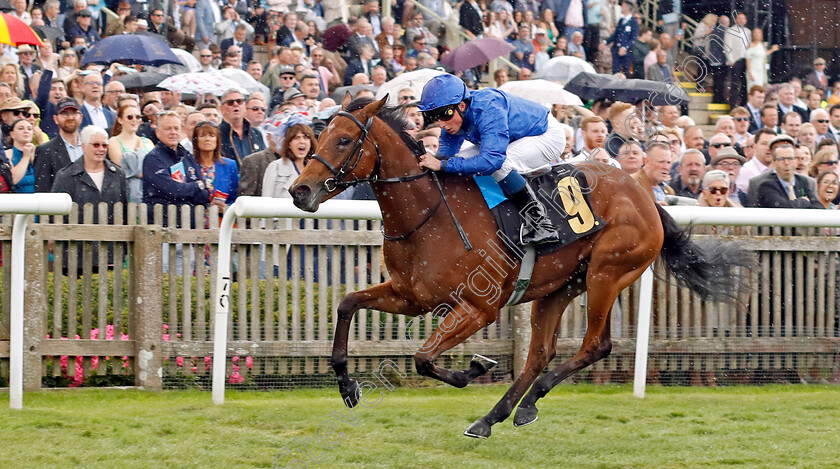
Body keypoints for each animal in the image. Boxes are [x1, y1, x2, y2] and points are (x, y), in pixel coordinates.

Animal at [288, 97, 748, 436]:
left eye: (344, 139)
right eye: (317, 136)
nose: (299, 190)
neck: (428, 213)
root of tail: (644, 195)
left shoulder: (478, 308)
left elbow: (422, 358)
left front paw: (474, 368)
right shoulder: (410, 296)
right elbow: (348, 303)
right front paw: (347, 386)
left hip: (607, 272)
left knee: (594, 346)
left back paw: (523, 403)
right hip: (559, 288)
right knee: (539, 354)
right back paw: (497, 416)